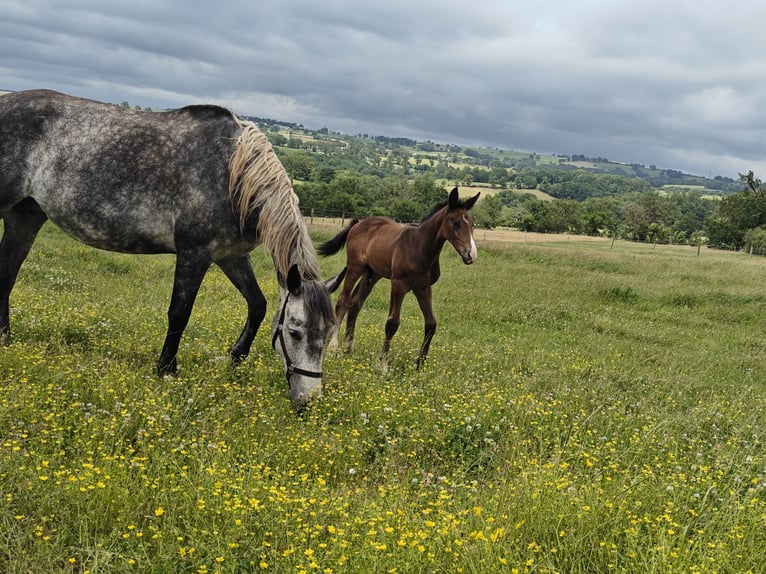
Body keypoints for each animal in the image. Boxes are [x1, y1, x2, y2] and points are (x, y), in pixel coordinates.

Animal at [0, 90, 342, 410]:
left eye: (328, 334)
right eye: (295, 331)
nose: (308, 402)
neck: (235, 174)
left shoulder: (230, 256)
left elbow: (257, 305)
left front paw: (233, 358)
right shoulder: (195, 254)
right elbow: (179, 312)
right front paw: (167, 369)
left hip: (26, 216)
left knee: (7, 275)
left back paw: (5, 339)